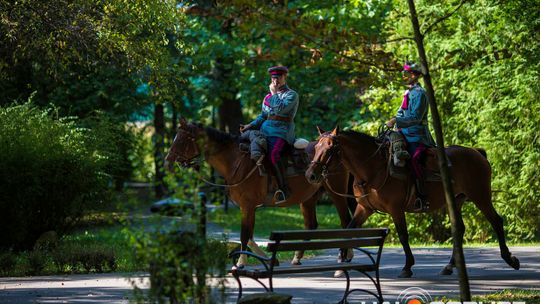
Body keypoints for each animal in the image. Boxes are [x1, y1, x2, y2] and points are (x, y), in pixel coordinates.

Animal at [167, 119, 356, 266]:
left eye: (183, 139)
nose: (168, 160)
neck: (236, 161)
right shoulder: (249, 207)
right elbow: (250, 235)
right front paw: (269, 259)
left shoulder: (247, 205)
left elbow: (244, 235)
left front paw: (240, 263)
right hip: (308, 198)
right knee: (311, 225)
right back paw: (297, 258)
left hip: (336, 193)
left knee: (345, 221)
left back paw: (345, 255)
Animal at [304, 126, 520, 278]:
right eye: (316, 148)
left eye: (330, 148)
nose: (311, 175)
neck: (373, 169)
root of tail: (476, 152)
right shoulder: (364, 208)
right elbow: (349, 229)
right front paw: (341, 264)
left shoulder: (396, 209)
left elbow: (403, 236)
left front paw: (407, 266)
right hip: (457, 201)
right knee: (459, 228)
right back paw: (449, 266)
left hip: (480, 195)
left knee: (496, 221)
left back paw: (510, 259)